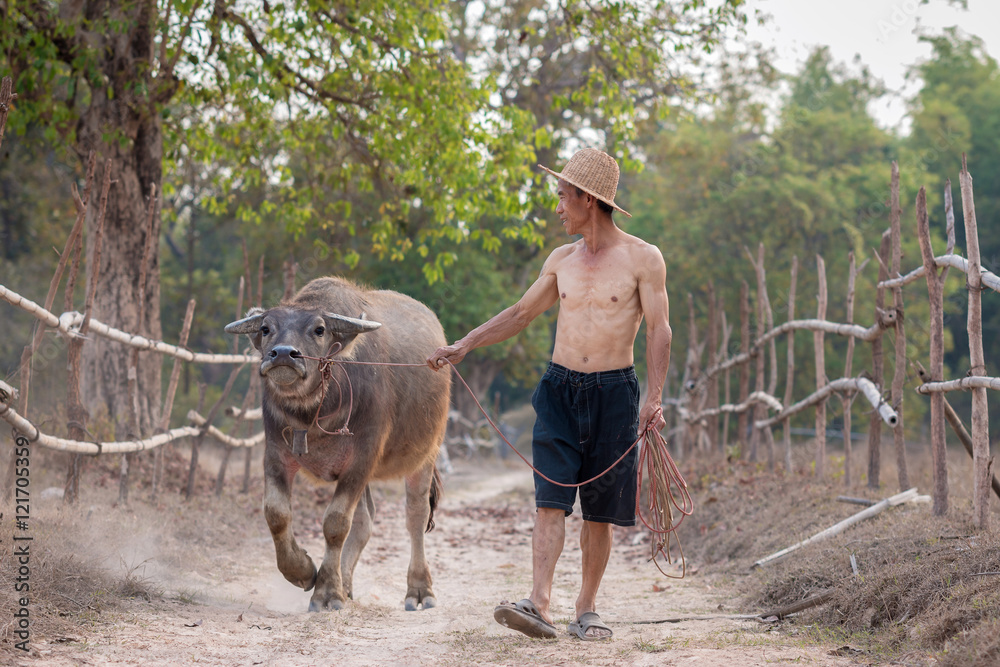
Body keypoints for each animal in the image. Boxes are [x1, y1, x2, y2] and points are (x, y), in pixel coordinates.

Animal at [227, 276, 450, 612]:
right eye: (266, 328)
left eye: (319, 329)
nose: (283, 354)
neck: (313, 411)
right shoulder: (276, 453)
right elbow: (276, 513)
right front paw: (303, 572)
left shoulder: (362, 458)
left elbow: (335, 523)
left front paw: (327, 593)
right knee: (366, 519)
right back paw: (346, 584)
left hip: (425, 455)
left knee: (415, 516)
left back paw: (419, 590)